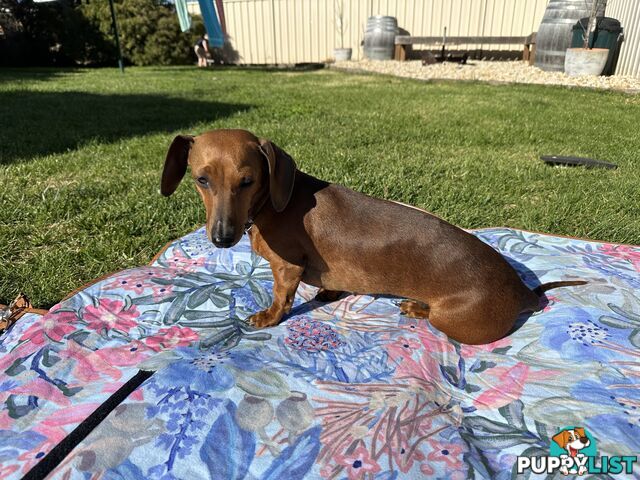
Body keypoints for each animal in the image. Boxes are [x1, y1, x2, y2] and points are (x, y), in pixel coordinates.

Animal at [162, 129, 588, 344]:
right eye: (201, 179)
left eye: (247, 181)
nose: (221, 239)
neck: (271, 205)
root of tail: (521, 292)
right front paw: (330, 291)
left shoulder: (287, 267)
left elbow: (282, 299)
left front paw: (268, 316)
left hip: (453, 320)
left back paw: (418, 308)